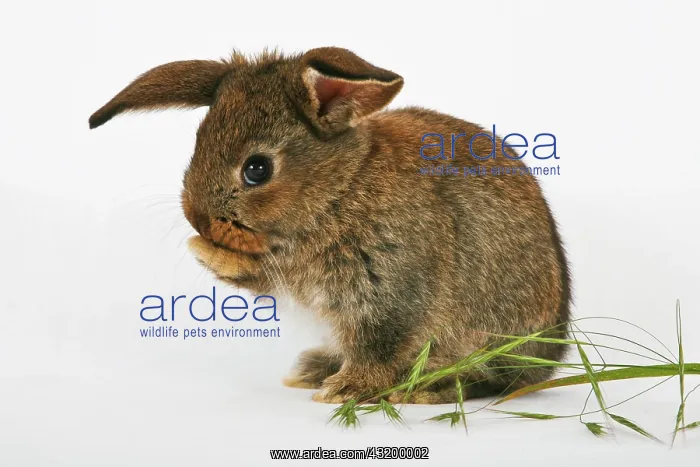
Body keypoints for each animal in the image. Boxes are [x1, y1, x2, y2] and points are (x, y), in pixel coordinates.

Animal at [89, 47, 570, 404]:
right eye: (196, 143)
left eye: (257, 169)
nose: (198, 219)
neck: (340, 188)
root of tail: (556, 350)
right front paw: (205, 249)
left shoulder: (389, 292)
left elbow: (379, 345)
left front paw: (346, 391)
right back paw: (313, 369)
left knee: (494, 379)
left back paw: (426, 389)